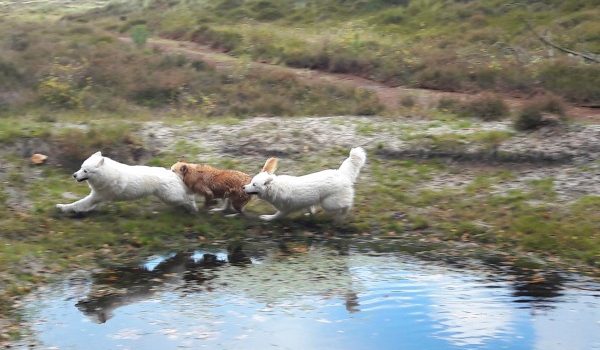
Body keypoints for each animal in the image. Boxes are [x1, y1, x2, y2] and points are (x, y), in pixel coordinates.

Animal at [56, 152, 198, 213]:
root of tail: (173, 174)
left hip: (170, 197)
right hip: (169, 197)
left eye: (85, 170)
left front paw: (62, 207)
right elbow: (85, 205)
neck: (106, 174)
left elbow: (78, 203)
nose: (74, 175)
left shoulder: (98, 195)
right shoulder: (97, 196)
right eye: (81, 168)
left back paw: (193, 209)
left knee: (188, 199)